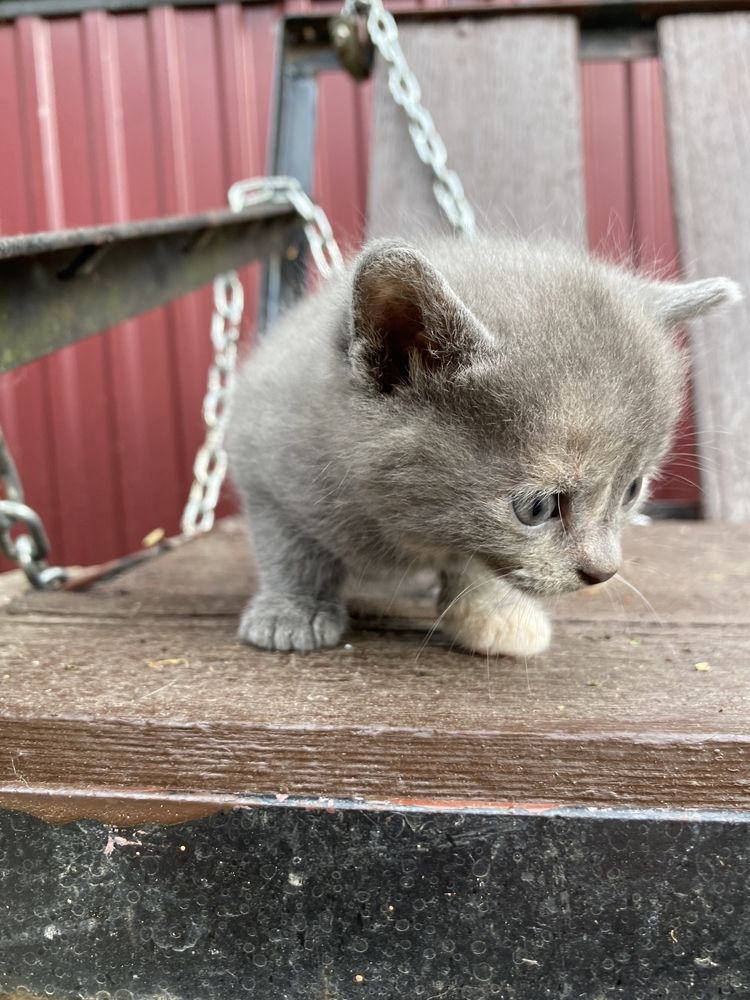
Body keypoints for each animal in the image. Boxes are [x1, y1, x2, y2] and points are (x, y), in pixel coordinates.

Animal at [226, 234, 744, 656]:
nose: (604, 572)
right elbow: (291, 550)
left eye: (632, 490)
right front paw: (293, 612)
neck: (404, 529)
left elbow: (475, 562)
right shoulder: (266, 461)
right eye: (537, 508)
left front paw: (494, 615)